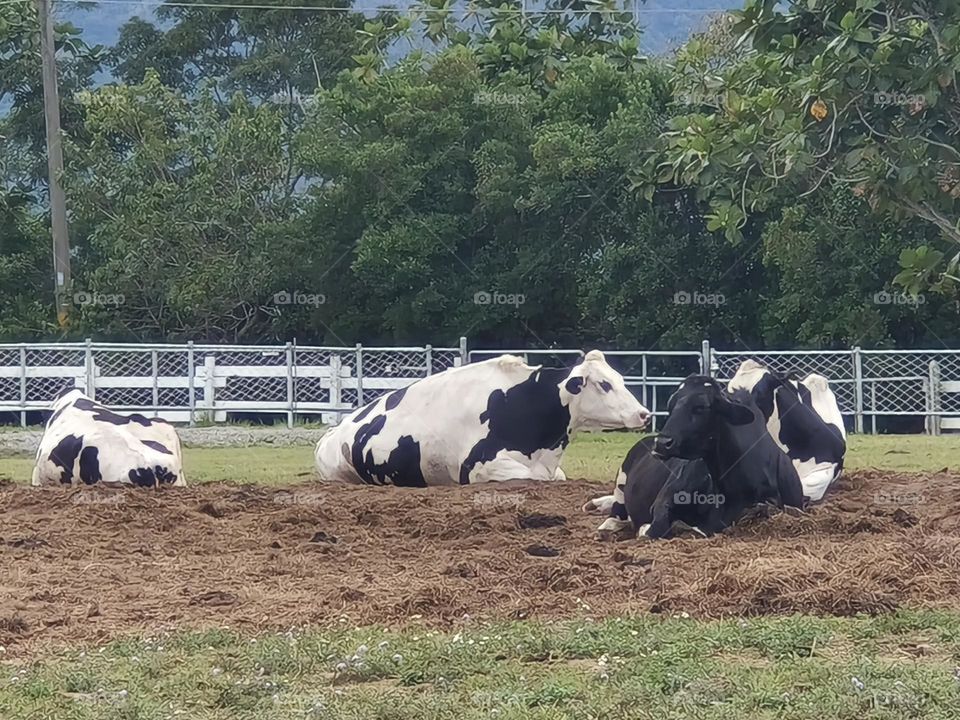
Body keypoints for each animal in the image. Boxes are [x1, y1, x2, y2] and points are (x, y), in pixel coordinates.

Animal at [586, 375, 804, 537]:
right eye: (671, 405)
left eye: (701, 407)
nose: (662, 443)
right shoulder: (665, 497)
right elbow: (656, 526)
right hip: (622, 480)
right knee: (618, 510)